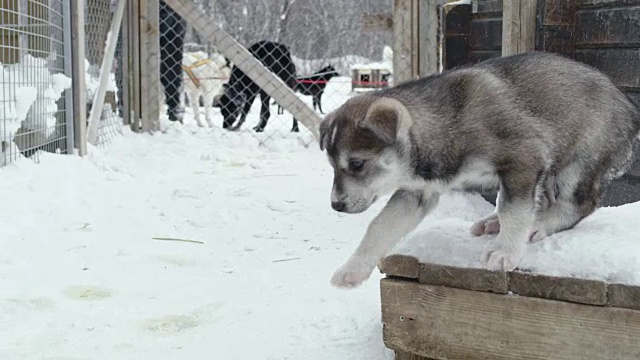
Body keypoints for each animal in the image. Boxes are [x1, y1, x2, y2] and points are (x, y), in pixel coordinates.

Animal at [320, 50, 640, 288]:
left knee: (579, 204)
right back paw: (494, 221)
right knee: (545, 200)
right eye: (333, 165)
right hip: (551, 170)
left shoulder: (524, 159)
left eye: (357, 163)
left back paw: (538, 223)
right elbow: (379, 227)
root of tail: (630, 109)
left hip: (578, 161)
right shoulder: (416, 192)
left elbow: (514, 210)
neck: (447, 125)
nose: (335, 205)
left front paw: (505, 252)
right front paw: (353, 269)